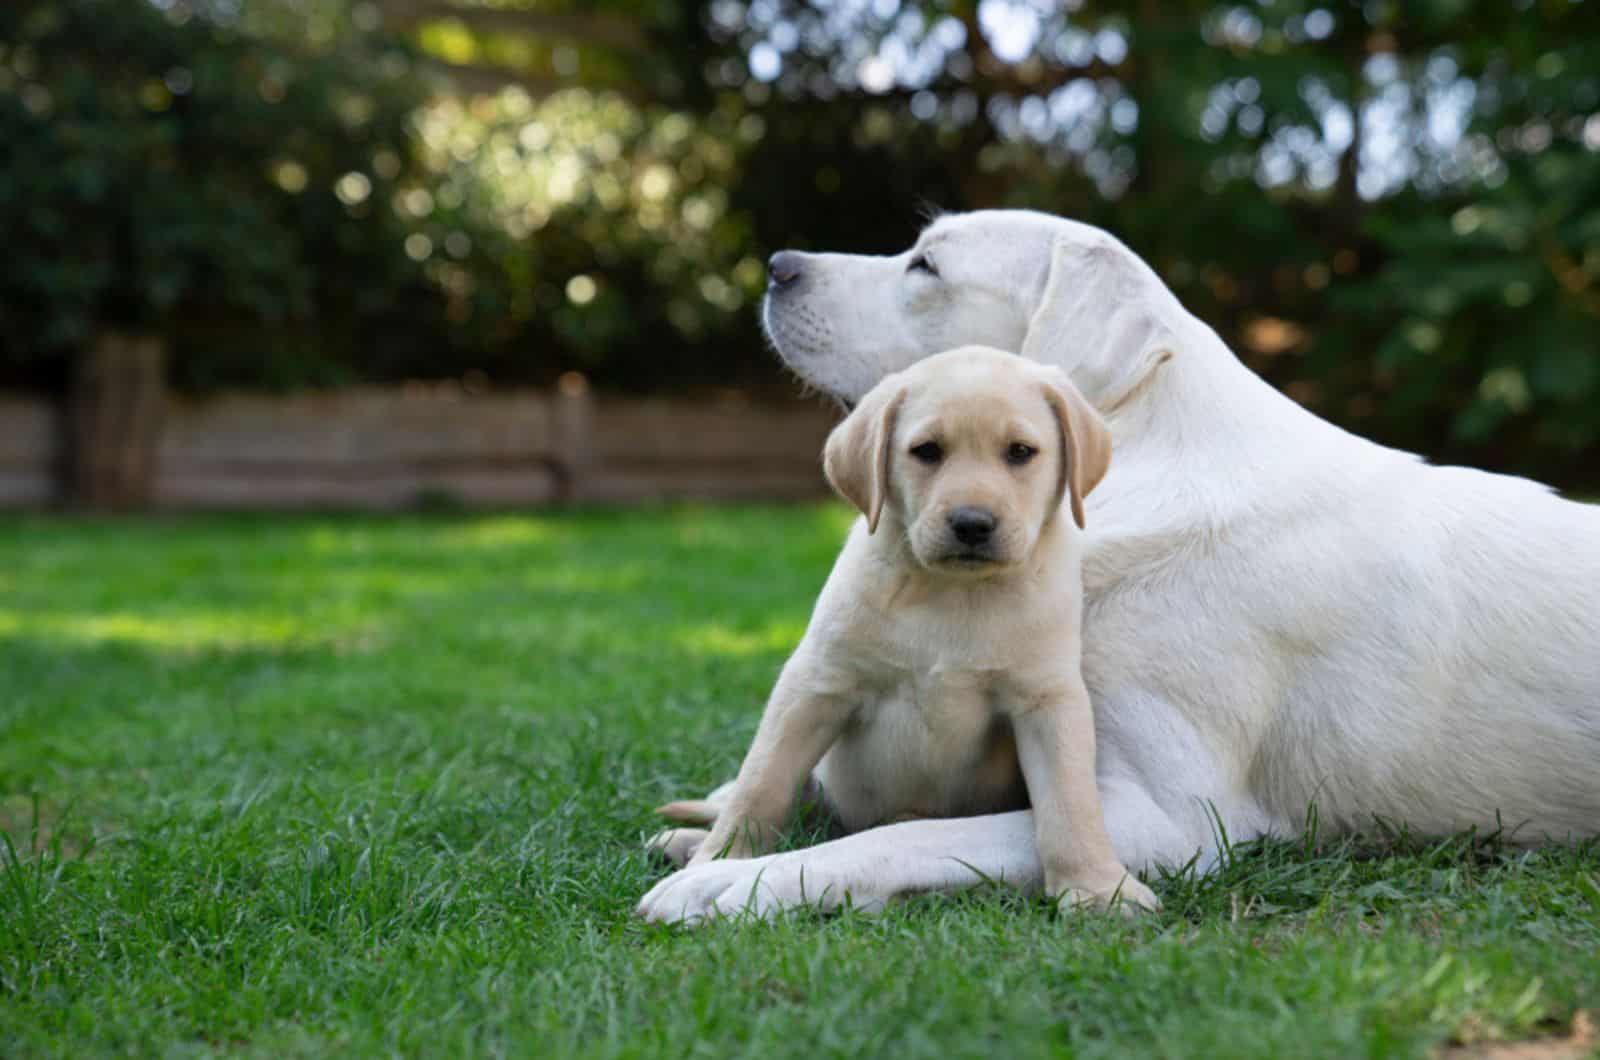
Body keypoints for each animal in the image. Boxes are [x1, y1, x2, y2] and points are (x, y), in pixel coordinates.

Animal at [643, 349, 1158, 922]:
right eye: (926, 451)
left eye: (1021, 453)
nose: (972, 523)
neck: (952, 593)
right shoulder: (816, 684)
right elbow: (761, 784)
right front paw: (719, 861)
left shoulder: (1048, 700)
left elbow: (1070, 802)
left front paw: (1098, 887)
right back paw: (685, 841)